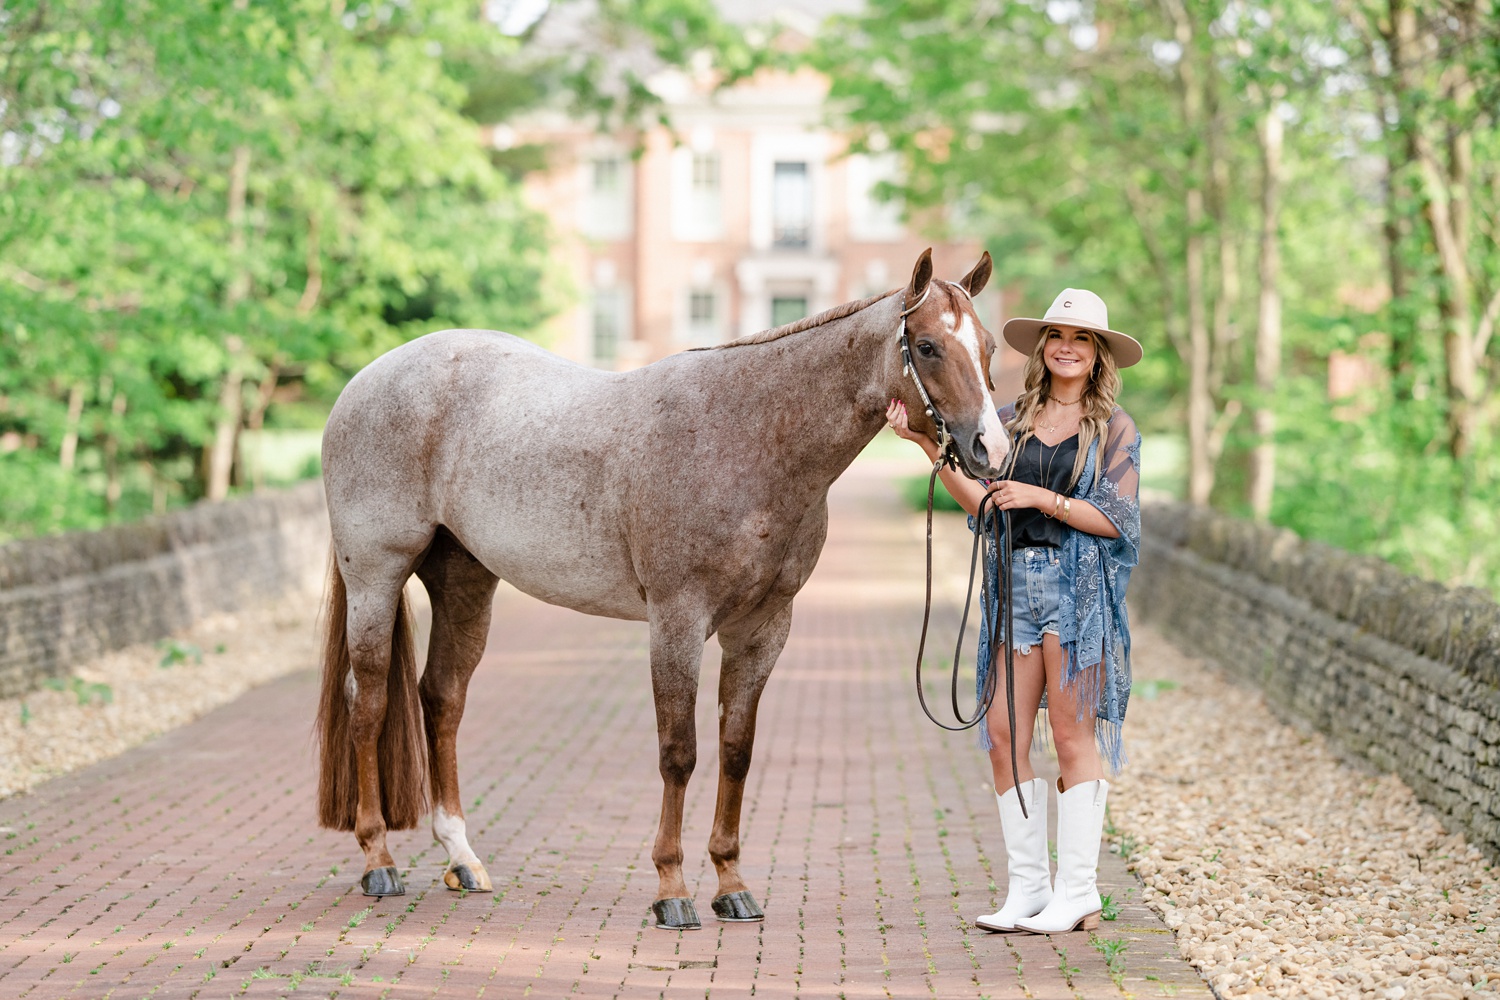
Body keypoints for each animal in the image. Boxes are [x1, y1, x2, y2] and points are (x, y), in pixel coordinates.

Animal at [313, 248, 1008, 929]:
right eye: (926, 346)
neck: (746, 436)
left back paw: (462, 858)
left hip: (464, 580)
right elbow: (680, 752)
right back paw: (379, 861)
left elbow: (735, 750)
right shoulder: (677, 620)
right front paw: (672, 889)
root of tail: (365, 381)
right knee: (369, 701)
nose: (991, 449)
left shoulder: (762, 628)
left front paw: (732, 884)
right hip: (376, 576)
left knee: (442, 698)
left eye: (990, 345)